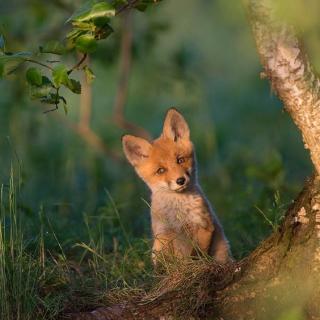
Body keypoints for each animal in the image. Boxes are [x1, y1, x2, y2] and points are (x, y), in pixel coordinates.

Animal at [121, 109, 231, 264]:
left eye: (180, 160)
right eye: (161, 170)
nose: (180, 180)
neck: (178, 214)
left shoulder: (205, 226)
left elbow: (197, 254)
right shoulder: (164, 234)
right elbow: (167, 261)